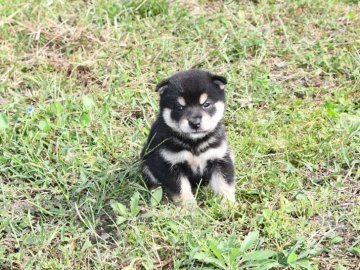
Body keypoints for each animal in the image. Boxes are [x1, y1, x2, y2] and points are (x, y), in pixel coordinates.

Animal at [139, 69, 235, 205]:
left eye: (206, 104)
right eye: (180, 107)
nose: (195, 123)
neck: (194, 143)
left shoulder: (219, 158)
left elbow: (224, 185)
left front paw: (228, 205)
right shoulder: (170, 165)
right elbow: (182, 191)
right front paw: (190, 208)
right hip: (146, 163)